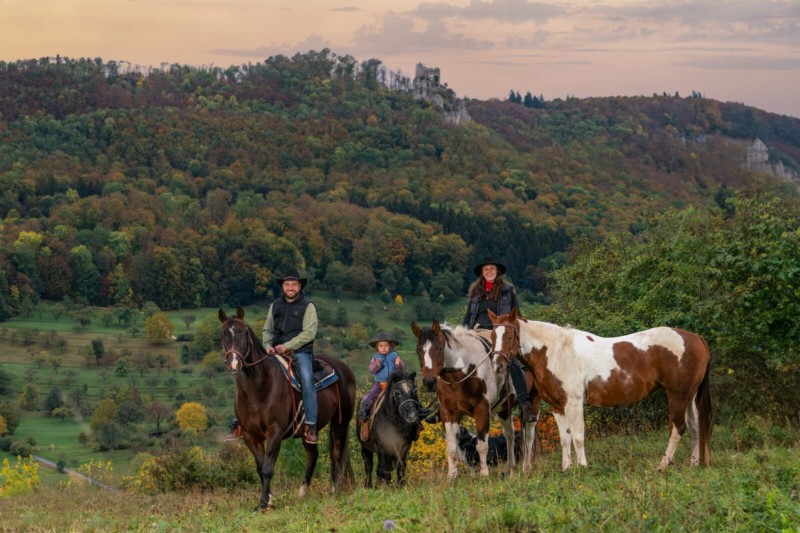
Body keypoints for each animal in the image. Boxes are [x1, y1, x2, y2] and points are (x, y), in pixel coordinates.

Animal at [218, 307, 356, 510]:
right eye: (223, 335)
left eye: (243, 333)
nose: (234, 363)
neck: (258, 389)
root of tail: (343, 368)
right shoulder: (250, 436)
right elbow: (260, 468)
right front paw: (268, 500)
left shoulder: (275, 431)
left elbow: (268, 468)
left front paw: (263, 503)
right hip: (309, 430)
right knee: (313, 455)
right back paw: (303, 492)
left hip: (341, 422)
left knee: (336, 453)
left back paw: (334, 490)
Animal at [411, 320, 541, 478]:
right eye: (418, 350)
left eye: (439, 348)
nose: (429, 382)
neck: (463, 372)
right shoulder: (448, 412)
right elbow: (452, 447)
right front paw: (451, 477)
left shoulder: (482, 410)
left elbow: (482, 445)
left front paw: (484, 474)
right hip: (504, 409)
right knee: (510, 435)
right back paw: (510, 468)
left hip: (534, 401)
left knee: (528, 436)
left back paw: (526, 468)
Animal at [489, 308, 712, 471]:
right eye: (492, 336)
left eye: (509, 336)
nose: (497, 365)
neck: (556, 350)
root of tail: (696, 338)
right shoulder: (557, 406)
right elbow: (564, 439)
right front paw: (566, 468)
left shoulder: (574, 403)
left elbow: (578, 436)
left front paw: (582, 467)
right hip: (689, 396)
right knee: (694, 427)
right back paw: (693, 464)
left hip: (678, 396)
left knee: (678, 428)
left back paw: (662, 465)